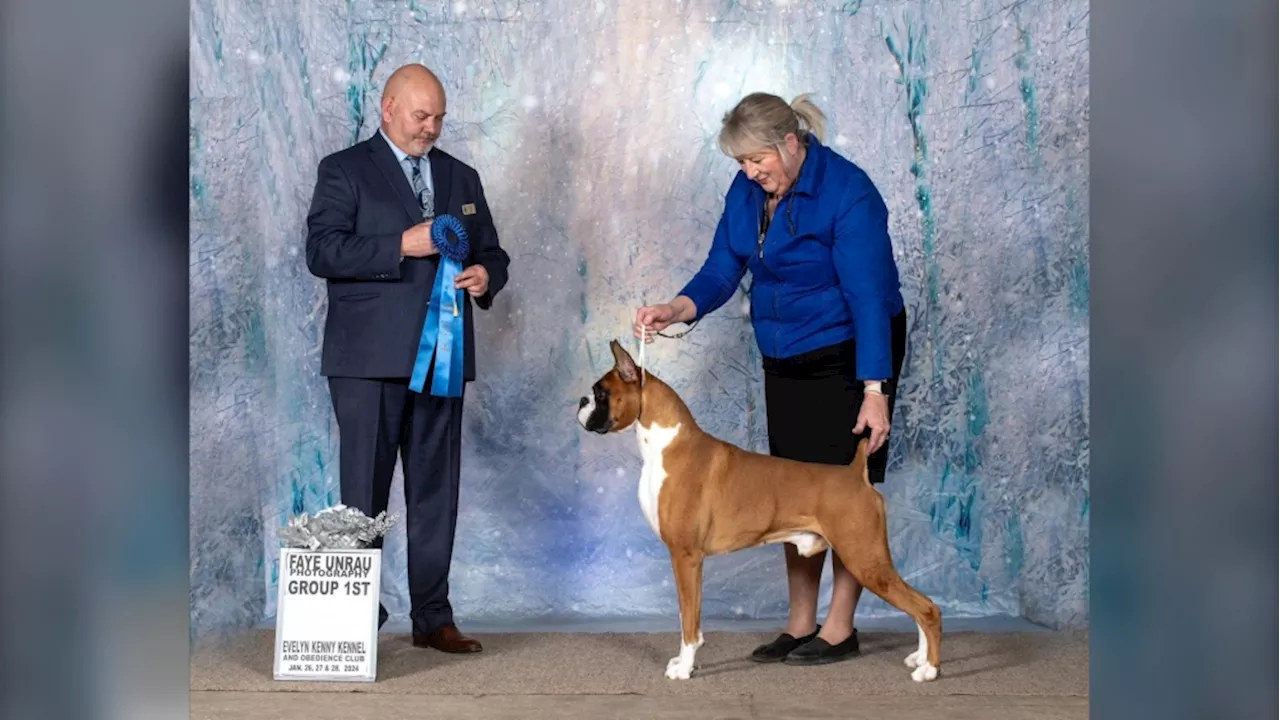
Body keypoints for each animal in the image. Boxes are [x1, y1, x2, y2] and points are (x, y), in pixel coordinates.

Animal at [578, 340, 942, 676]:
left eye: (600, 393)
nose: (581, 401)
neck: (668, 445)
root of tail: (855, 472)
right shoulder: (689, 561)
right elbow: (689, 616)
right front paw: (685, 662)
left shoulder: (685, 557)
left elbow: (688, 622)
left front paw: (684, 668)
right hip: (868, 558)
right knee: (921, 606)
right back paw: (920, 658)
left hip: (865, 558)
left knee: (926, 608)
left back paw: (929, 669)